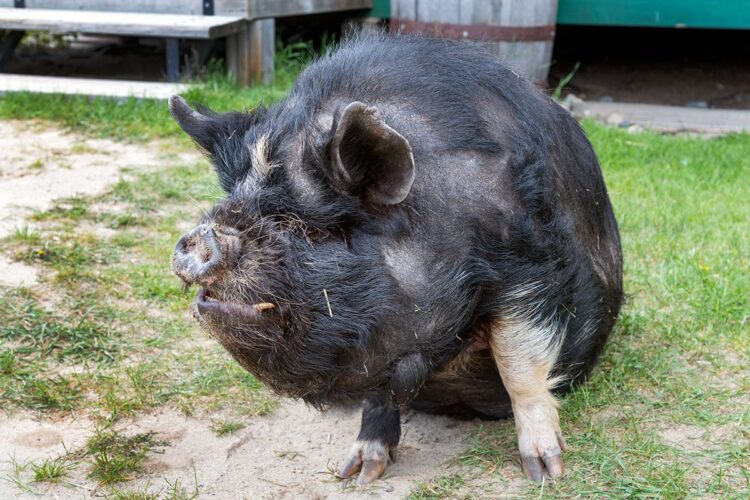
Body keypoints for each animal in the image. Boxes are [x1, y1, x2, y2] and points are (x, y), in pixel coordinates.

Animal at [169, 32, 624, 484]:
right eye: (235, 202)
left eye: (313, 229)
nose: (202, 237)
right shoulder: (376, 333)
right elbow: (378, 393)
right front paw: (357, 474)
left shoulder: (529, 265)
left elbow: (520, 368)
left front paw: (547, 472)